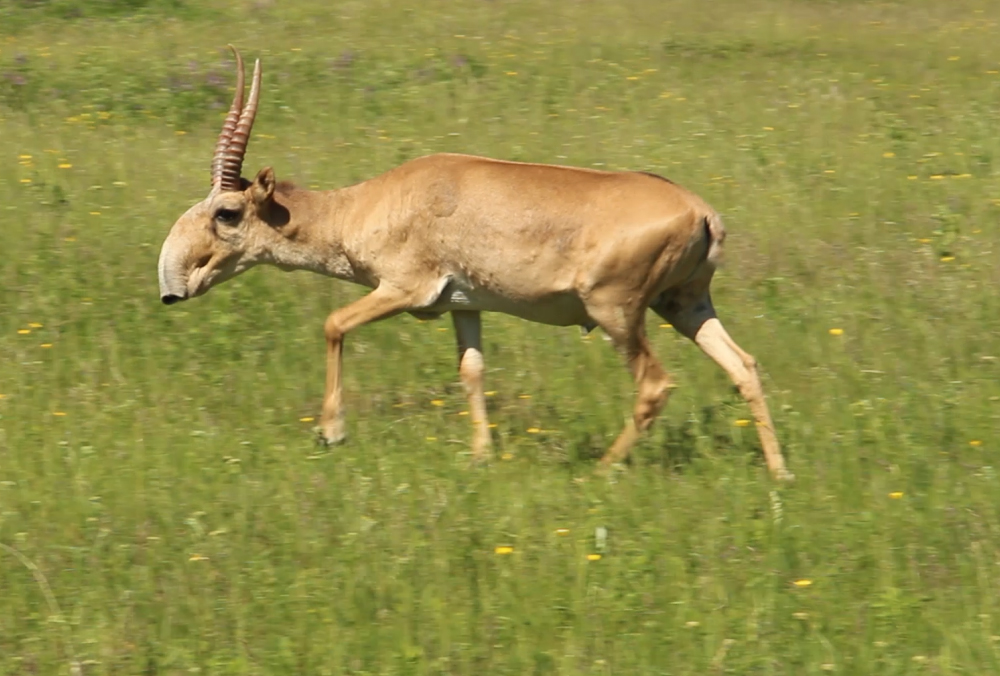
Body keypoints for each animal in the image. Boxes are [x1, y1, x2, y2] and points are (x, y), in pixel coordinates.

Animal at [156, 48, 792, 480]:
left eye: (227, 212)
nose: (174, 286)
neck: (370, 202)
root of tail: (701, 212)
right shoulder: (464, 306)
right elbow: (472, 371)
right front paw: (482, 456)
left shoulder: (403, 290)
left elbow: (333, 324)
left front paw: (331, 433)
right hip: (685, 305)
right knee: (744, 367)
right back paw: (780, 474)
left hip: (619, 313)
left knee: (655, 385)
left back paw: (599, 471)